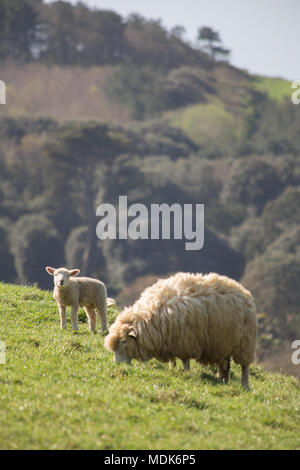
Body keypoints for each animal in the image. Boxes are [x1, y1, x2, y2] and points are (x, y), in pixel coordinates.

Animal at [104, 272, 256, 390]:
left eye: (124, 342)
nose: (117, 365)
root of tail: (243, 290)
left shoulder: (186, 342)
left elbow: (185, 360)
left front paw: (186, 372)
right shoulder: (170, 341)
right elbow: (173, 359)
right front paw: (173, 368)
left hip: (245, 343)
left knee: (244, 367)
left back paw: (245, 385)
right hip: (223, 343)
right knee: (225, 364)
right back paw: (223, 380)